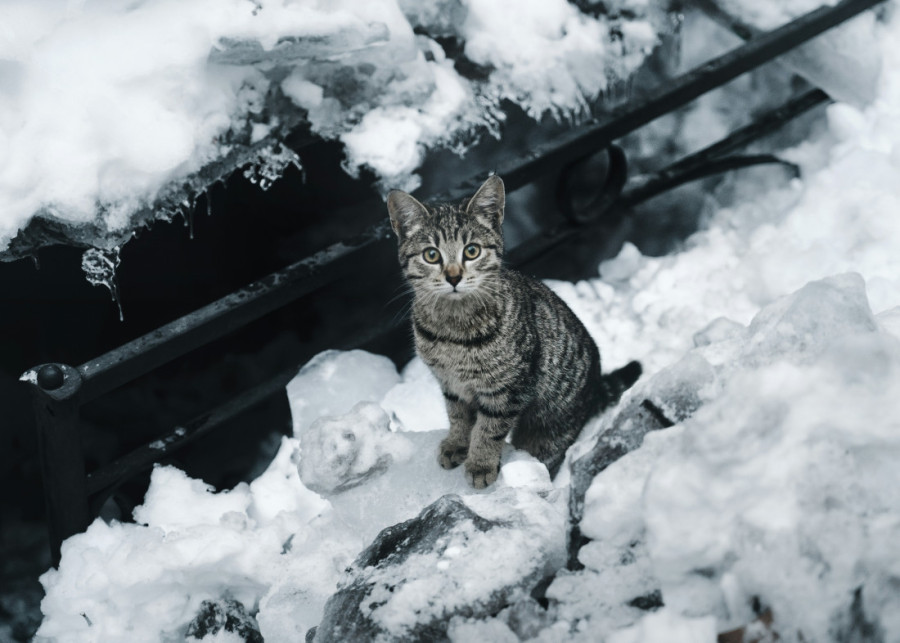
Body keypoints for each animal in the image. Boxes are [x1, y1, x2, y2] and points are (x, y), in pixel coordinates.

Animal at [386, 176, 640, 488]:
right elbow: (458, 418)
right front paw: (457, 444)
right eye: (431, 255)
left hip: (547, 432)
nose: (454, 277)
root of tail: (595, 388)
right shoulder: (451, 385)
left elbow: (488, 429)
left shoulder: (507, 390)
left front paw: (480, 464)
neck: (452, 332)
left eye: (472, 251)